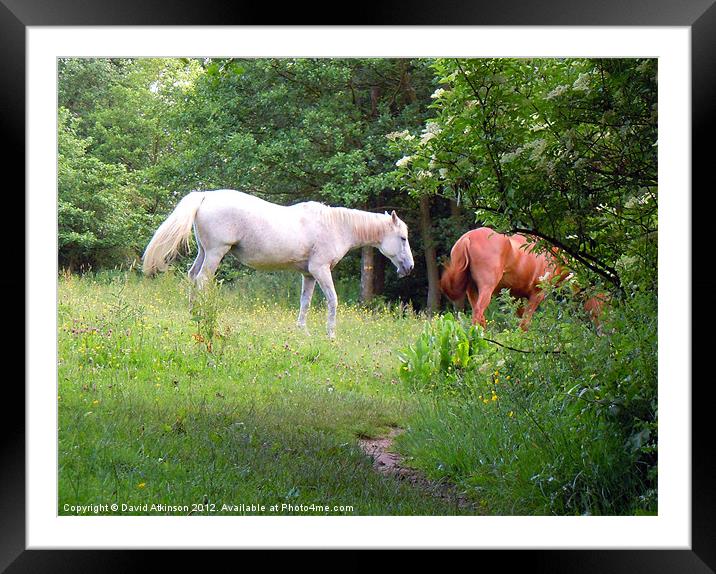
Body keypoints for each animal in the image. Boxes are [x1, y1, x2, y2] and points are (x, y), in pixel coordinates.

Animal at [141, 191, 414, 340]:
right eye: (402, 238)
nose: (410, 267)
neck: (336, 226)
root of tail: (205, 195)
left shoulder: (309, 275)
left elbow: (305, 302)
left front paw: (302, 331)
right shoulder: (321, 270)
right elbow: (333, 301)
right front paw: (331, 334)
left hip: (204, 252)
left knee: (191, 276)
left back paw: (192, 313)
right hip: (216, 253)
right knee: (202, 281)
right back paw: (202, 315)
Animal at [440, 227, 600, 330]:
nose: (600, 327)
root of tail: (467, 239)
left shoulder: (518, 298)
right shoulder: (537, 295)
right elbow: (524, 324)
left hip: (472, 290)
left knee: (477, 314)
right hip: (486, 287)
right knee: (478, 312)